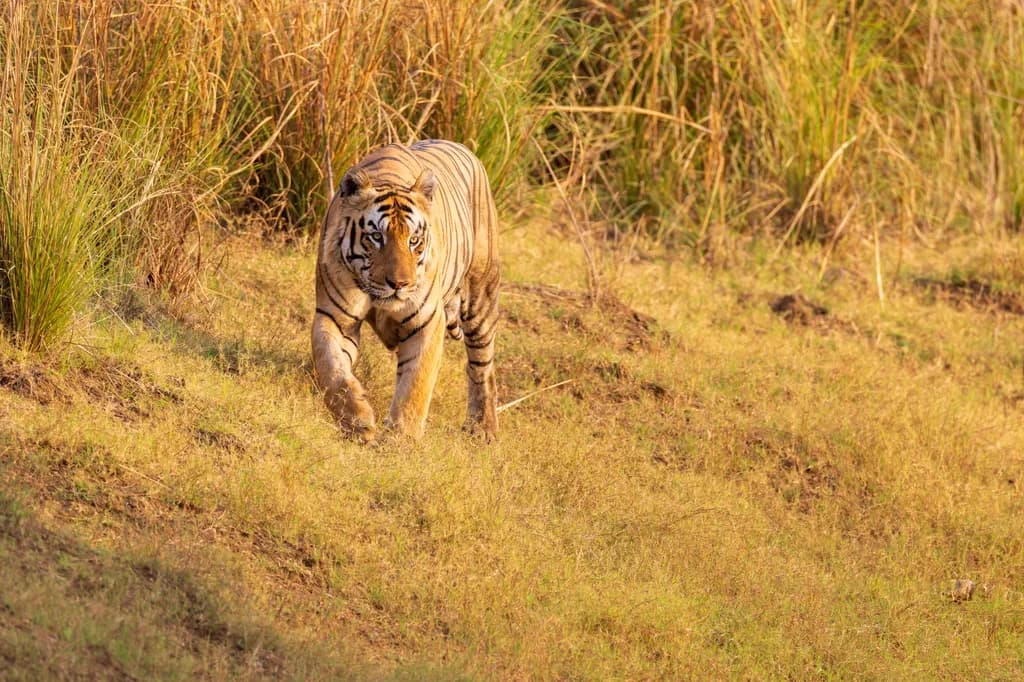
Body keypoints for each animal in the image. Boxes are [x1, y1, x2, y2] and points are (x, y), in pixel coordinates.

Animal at [311, 139, 500, 442]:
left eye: (414, 240)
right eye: (376, 237)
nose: (399, 284)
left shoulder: (428, 322)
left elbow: (416, 385)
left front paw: (402, 439)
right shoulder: (335, 317)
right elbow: (332, 369)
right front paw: (357, 421)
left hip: (481, 299)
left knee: (483, 368)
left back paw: (483, 429)